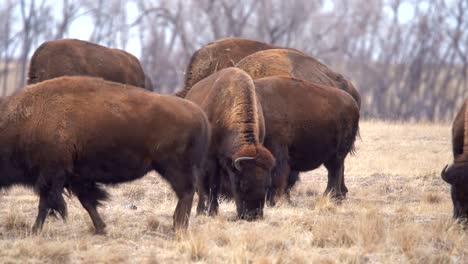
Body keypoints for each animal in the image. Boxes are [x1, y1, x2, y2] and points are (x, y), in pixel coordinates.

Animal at [0, 76, 208, 233]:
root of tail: (199, 114)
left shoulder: (52, 175)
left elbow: (46, 203)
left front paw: (34, 230)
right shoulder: (76, 177)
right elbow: (88, 202)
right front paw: (101, 228)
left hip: (173, 167)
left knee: (186, 192)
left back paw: (179, 226)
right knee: (187, 193)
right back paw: (177, 224)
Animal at [185, 67, 276, 220]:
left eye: (267, 184)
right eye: (243, 184)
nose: (253, 216)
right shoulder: (211, 160)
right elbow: (213, 186)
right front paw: (212, 212)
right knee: (201, 185)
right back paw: (200, 210)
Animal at [252, 76, 358, 204]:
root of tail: (353, 103)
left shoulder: (277, 150)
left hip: (338, 153)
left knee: (335, 171)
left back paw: (332, 197)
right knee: (336, 170)